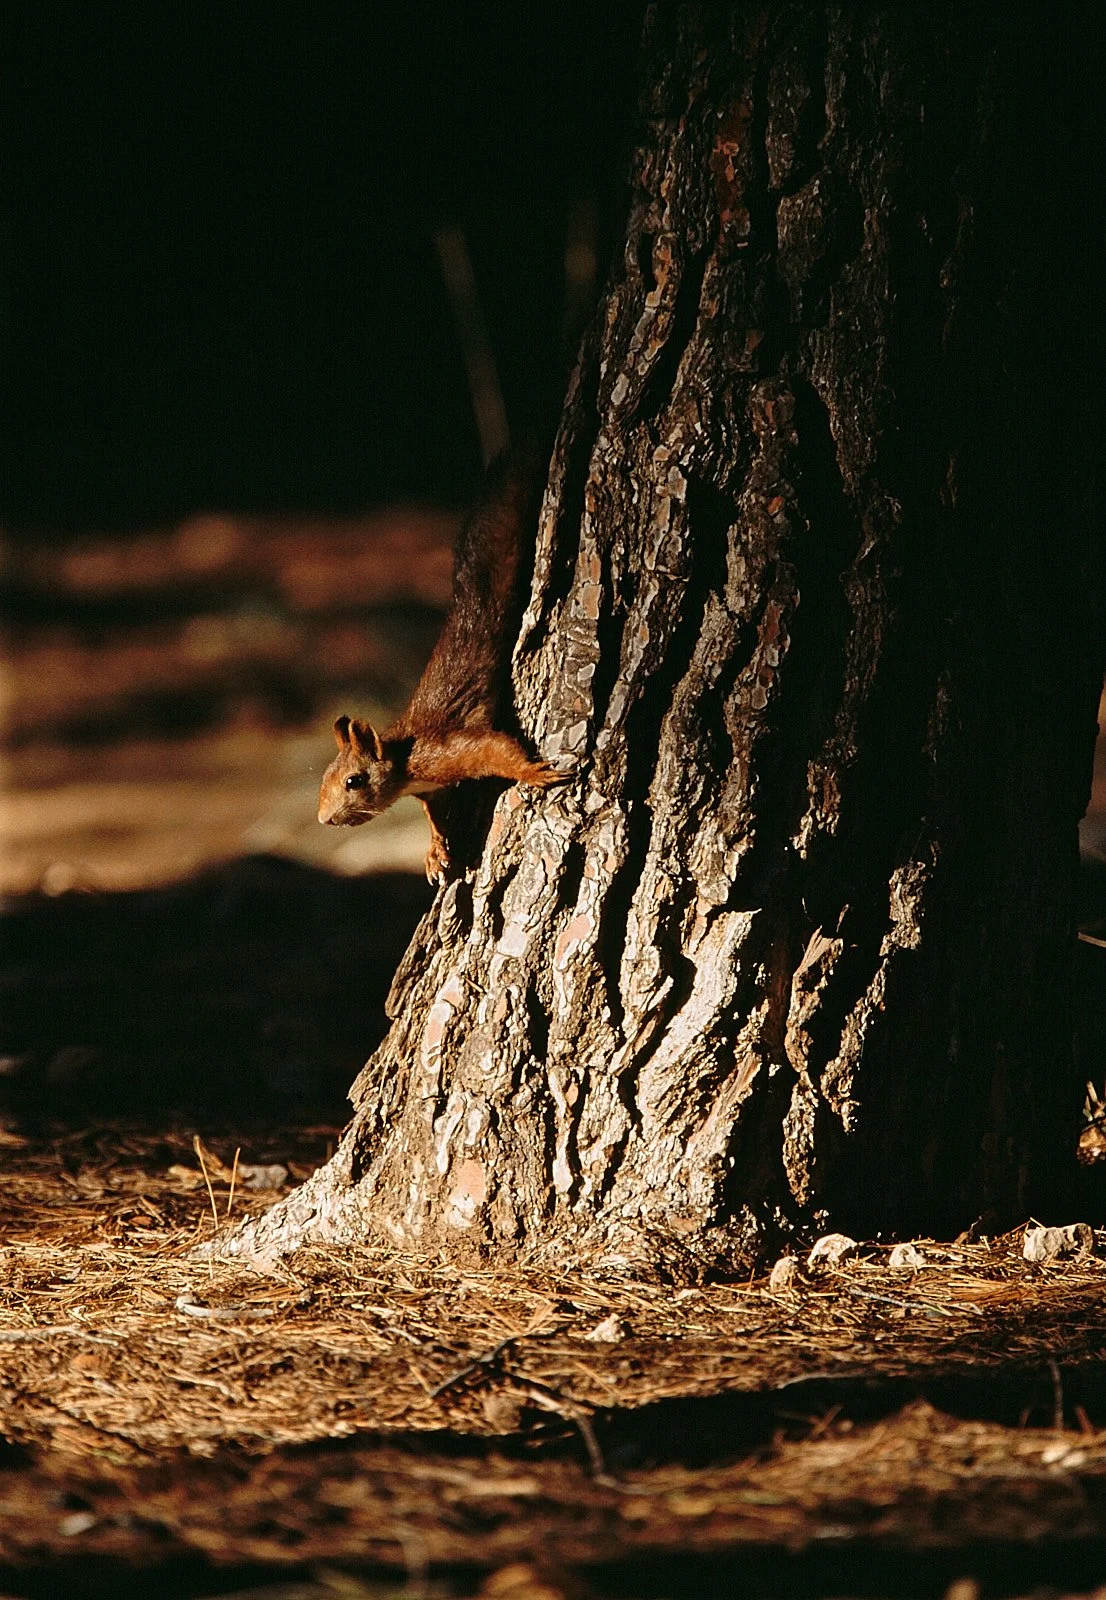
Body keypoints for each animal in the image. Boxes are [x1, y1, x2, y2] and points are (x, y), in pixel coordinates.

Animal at [317, 446, 561, 882]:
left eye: (353, 781)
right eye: (325, 778)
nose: (323, 819)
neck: (404, 764)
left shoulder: (446, 752)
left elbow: (495, 748)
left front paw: (534, 773)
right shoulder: (432, 788)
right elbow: (435, 813)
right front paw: (435, 850)